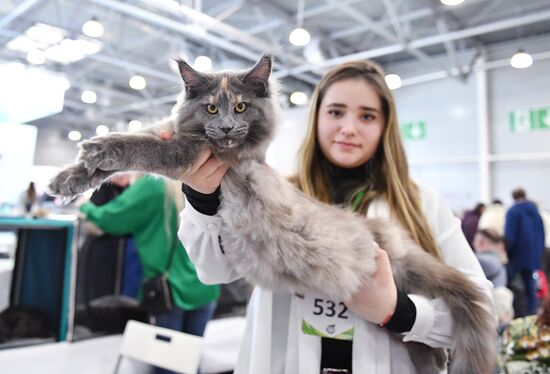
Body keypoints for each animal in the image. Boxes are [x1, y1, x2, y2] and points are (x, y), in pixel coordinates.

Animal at [51, 54, 498, 372]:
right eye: (211, 109)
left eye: (241, 107)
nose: (226, 128)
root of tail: (380, 233)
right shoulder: (172, 133)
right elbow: (127, 148)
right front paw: (69, 178)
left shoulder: (186, 151)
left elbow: (140, 148)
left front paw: (100, 147)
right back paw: (432, 358)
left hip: (395, 279)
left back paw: (434, 354)